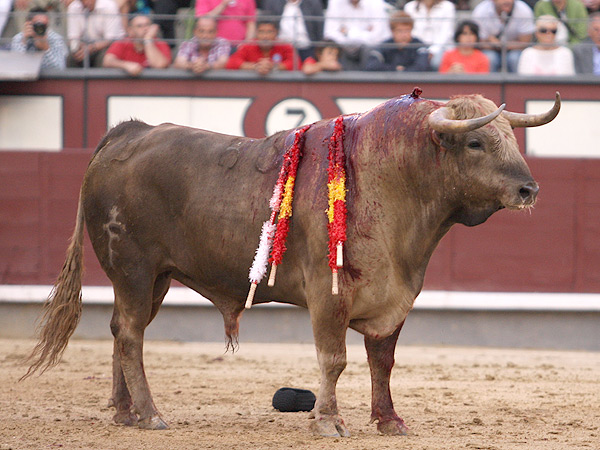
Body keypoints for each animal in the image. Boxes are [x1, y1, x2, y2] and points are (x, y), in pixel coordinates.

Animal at [23, 89, 556, 436]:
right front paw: (329, 422)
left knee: (118, 330)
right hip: (133, 271)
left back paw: (124, 412)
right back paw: (151, 415)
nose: (529, 189)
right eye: (476, 142)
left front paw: (389, 421)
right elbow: (335, 359)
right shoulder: (328, 296)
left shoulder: (394, 297)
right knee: (131, 336)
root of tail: (127, 132)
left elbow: (382, 360)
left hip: (154, 279)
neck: (392, 180)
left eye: (512, 138)